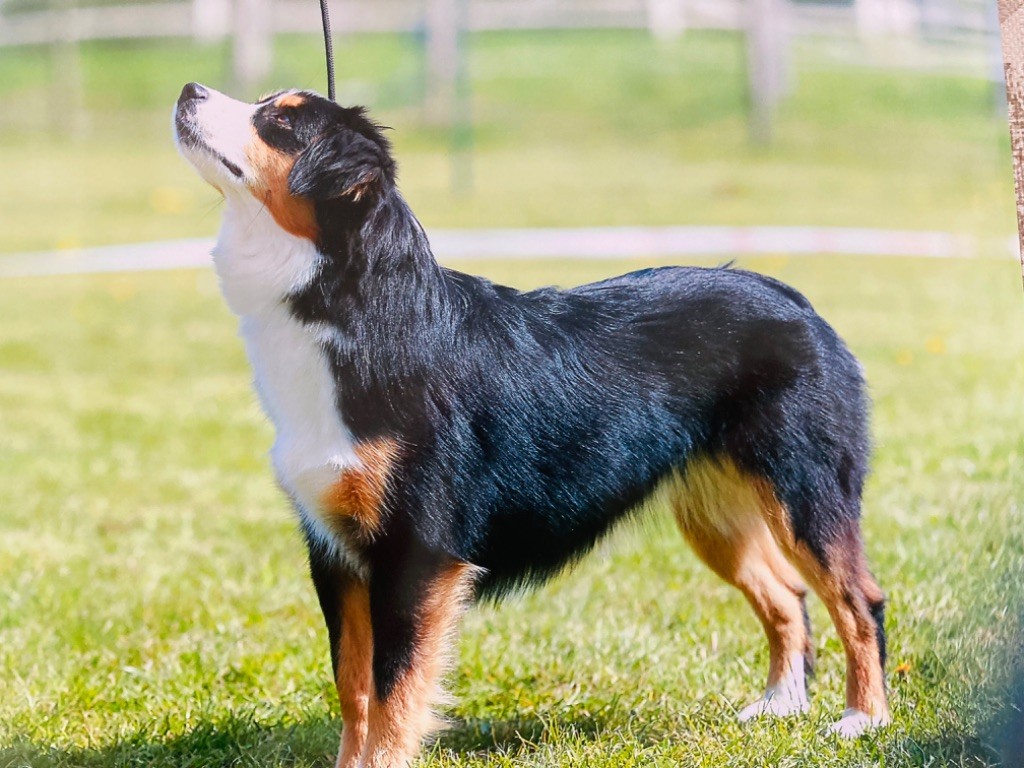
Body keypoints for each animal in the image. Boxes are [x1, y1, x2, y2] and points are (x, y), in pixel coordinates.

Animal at [173, 82, 889, 768]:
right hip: (714, 513)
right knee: (786, 596)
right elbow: (354, 687)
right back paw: (780, 706)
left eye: (282, 123)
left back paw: (863, 719)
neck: (361, 309)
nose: (188, 90)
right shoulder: (332, 549)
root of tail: (793, 300)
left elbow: (394, 692)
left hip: (804, 492)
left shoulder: (418, 552)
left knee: (858, 600)